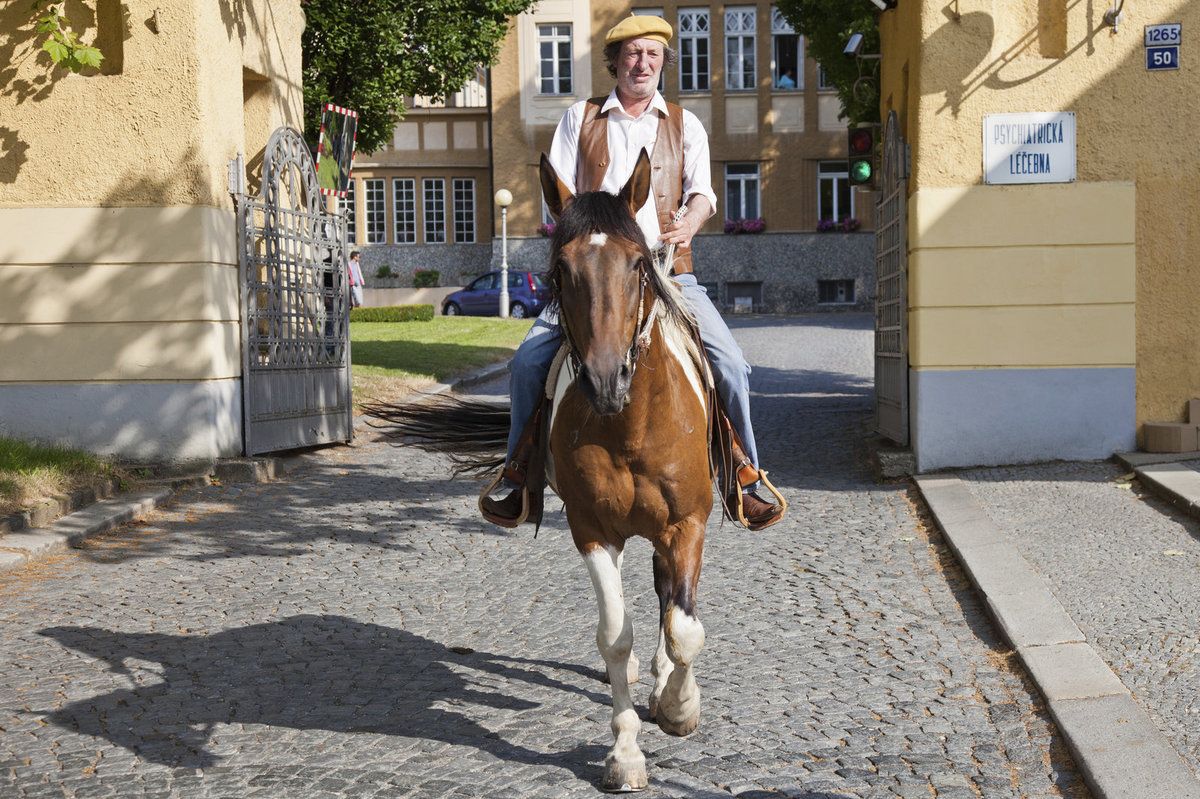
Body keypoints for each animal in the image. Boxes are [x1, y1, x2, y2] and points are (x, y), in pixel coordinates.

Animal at [369, 152, 715, 787]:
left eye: (638, 264)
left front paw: (679, 708)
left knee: (666, 598)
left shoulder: (687, 524)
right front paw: (625, 752)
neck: (629, 424)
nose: (605, 380)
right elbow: (614, 634)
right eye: (559, 269)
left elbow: (683, 630)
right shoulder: (591, 529)